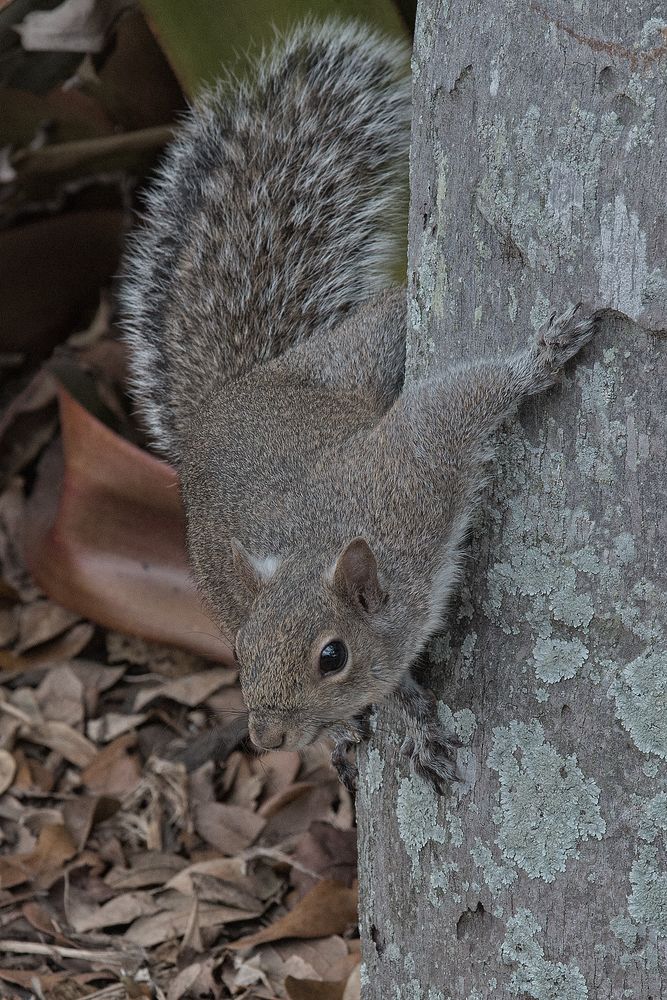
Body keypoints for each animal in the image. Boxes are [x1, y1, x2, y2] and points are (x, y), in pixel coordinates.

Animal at [120, 19, 596, 792]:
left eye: (331, 657)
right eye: (241, 653)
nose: (268, 736)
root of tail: (219, 409)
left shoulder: (413, 470)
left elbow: (456, 401)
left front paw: (540, 357)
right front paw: (409, 721)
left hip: (355, 358)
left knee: (385, 326)